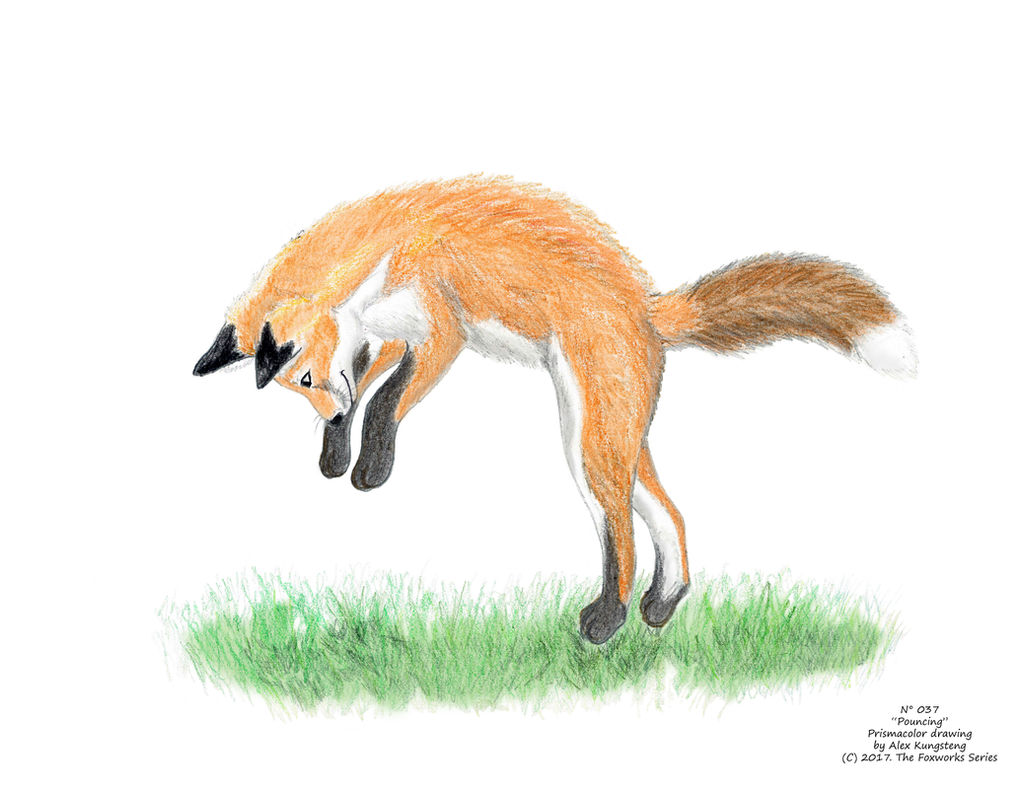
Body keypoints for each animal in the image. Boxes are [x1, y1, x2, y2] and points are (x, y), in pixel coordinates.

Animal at [194, 176, 916, 644]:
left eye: (304, 374)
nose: (326, 406)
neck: (381, 253)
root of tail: (649, 307)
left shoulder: (442, 328)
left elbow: (386, 403)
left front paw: (369, 463)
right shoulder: (393, 335)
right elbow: (369, 386)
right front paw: (335, 452)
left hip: (589, 441)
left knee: (620, 532)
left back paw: (607, 622)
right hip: (613, 438)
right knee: (669, 517)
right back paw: (661, 606)